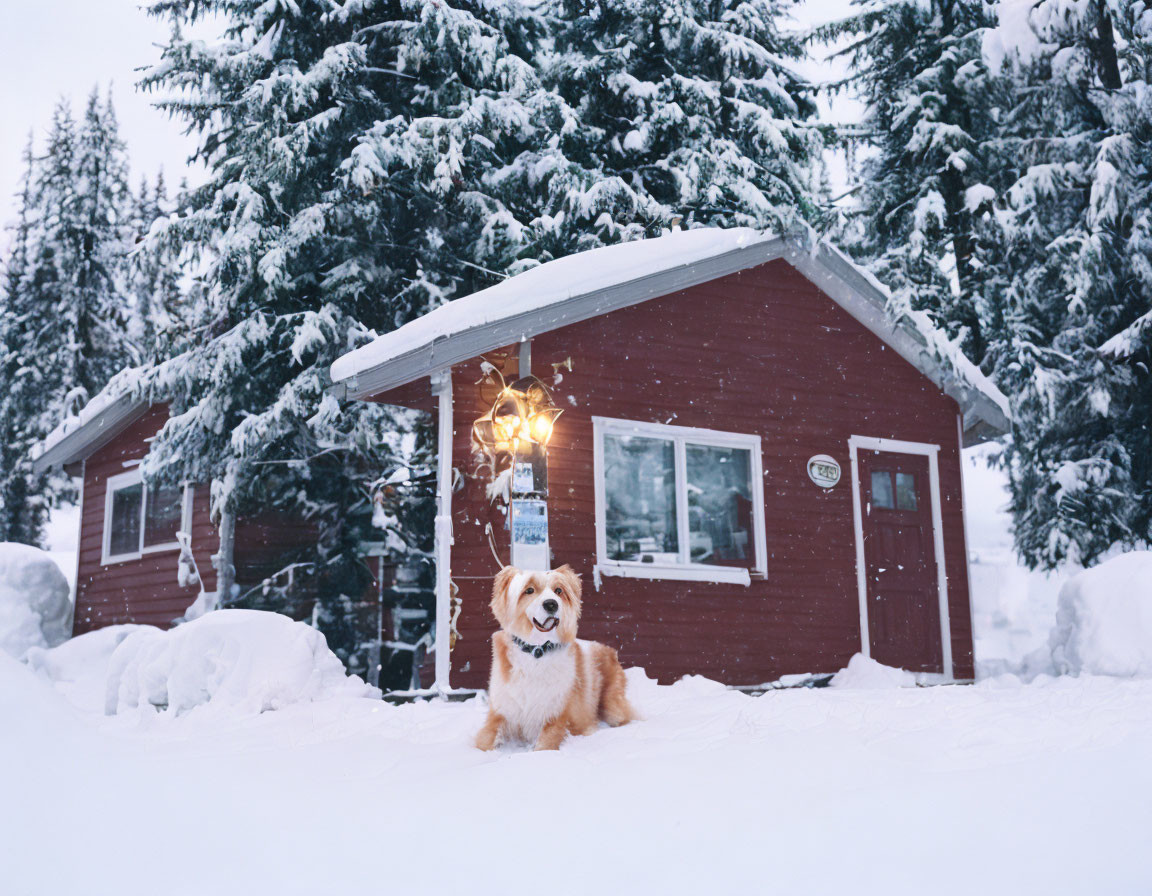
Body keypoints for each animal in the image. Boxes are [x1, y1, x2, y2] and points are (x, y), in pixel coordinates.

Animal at [476, 566, 640, 746]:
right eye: (529, 590)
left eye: (558, 591)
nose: (551, 604)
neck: (537, 651)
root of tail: (610, 650)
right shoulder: (501, 711)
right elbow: (485, 741)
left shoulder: (558, 715)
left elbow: (546, 744)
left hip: (613, 706)